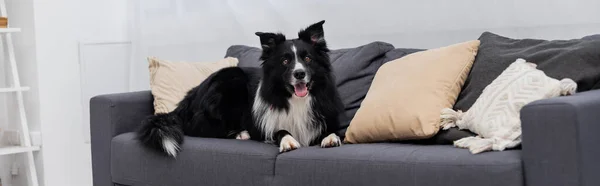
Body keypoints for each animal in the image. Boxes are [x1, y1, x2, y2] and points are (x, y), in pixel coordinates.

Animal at [135, 20, 342, 157]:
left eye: (307, 58)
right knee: (199, 128)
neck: (295, 99)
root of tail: (190, 96)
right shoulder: (264, 126)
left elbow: (331, 131)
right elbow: (280, 131)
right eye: (285, 61)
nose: (299, 74)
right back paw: (241, 133)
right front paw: (288, 141)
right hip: (231, 83)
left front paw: (331, 138)